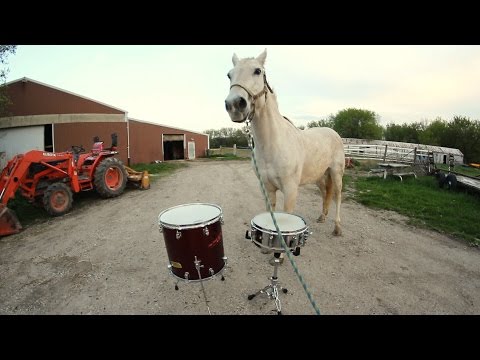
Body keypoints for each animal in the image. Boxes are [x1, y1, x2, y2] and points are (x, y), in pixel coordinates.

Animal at [225, 50, 344, 236]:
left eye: (258, 71)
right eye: (229, 75)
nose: (234, 105)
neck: (273, 144)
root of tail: (333, 133)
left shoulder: (290, 191)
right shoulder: (267, 189)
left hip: (336, 173)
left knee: (337, 195)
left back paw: (337, 227)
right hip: (319, 175)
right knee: (326, 193)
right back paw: (322, 217)